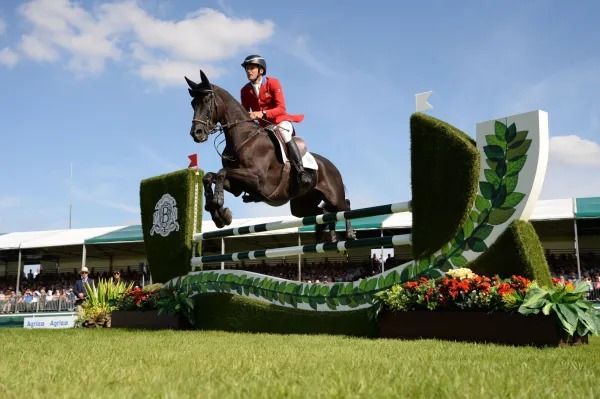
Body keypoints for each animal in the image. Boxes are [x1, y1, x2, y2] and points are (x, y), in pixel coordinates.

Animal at [188, 70, 354, 242]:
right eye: (193, 103)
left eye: (207, 100)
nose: (196, 133)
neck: (244, 138)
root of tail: (332, 166)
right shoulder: (237, 186)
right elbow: (209, 176)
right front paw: (219, 214)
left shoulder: (256, 178)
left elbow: (221, 172)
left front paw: (218, 204)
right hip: (302, 205)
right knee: (324, 213)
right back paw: (330, 237)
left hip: (333, 196)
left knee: (344, 206)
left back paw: (350, 234)